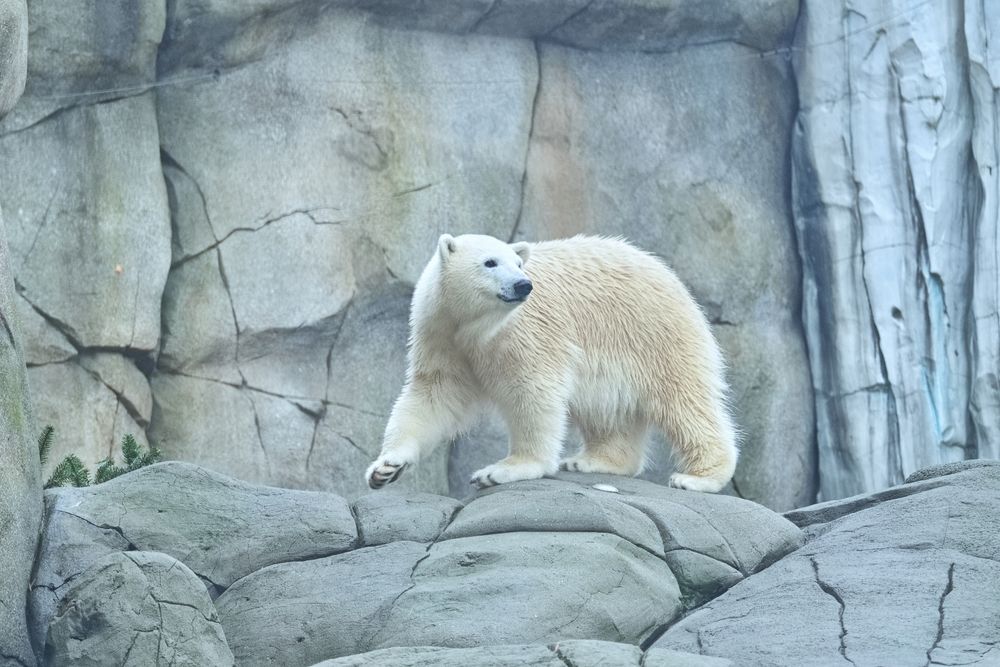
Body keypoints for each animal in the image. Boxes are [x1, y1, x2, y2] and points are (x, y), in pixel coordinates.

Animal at [364, 234, 740, 490]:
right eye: (490, 262)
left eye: (518, 264)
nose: (523, 285)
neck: (475, 328)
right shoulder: (441, 335)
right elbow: (432, 396)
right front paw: (385, 467)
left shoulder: (526, 333)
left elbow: (533, 392)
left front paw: (502, 469)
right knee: (608, 412)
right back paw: (591, 461)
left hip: (653, 334)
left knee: (684, 401)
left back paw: (698, 477)